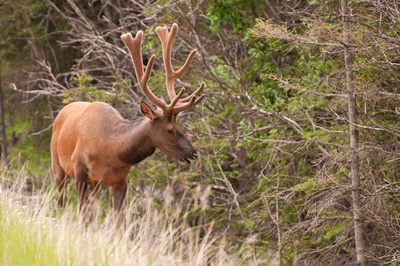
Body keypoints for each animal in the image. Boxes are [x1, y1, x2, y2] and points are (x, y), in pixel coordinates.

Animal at [50, 23, 205, 213]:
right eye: (170, 130)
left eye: (181, 126)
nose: (193, 153)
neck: (109, 149)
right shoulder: (79, 168)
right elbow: (82, 210)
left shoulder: (120, 179)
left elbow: (116, 215)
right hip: (57, 165)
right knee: (61, 201)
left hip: (94, 183)